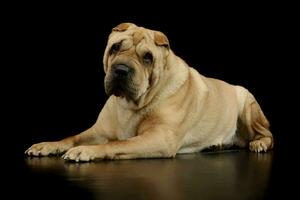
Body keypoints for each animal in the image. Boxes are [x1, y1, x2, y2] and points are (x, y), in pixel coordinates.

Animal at [25, 22, 274, 162]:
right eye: (115, 47)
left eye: (147, 58)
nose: (121, 70)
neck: (129, 104)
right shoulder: (98, 130)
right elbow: (71, 137)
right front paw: (46, 145)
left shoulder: (158, 138)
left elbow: (117, 144)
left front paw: (85, 151)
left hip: (247, 104)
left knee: (267, 134)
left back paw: (259, 144)